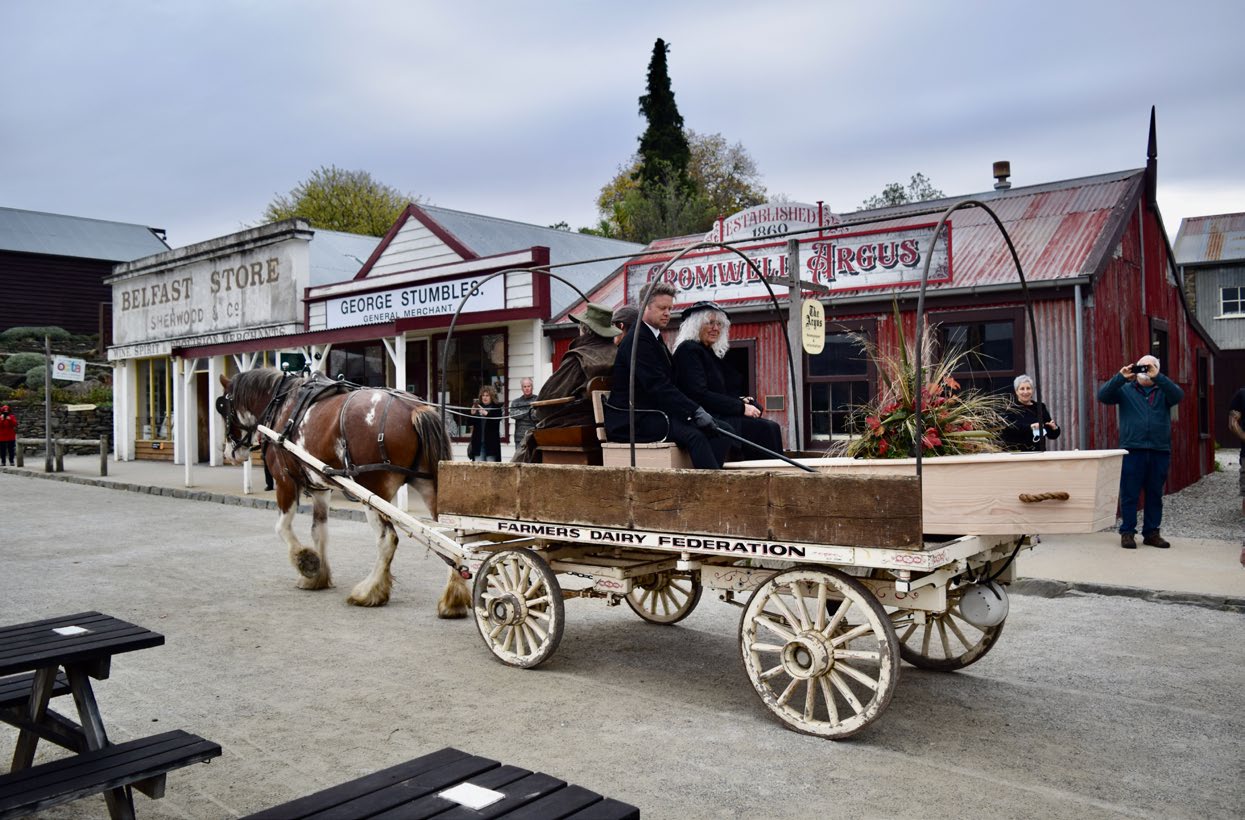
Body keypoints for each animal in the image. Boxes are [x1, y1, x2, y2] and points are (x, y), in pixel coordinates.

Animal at [214, 368, 470, 619]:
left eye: (222, 406)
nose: (230, 452)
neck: (281, 405)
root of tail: (413, 408)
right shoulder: (320, 489)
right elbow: (319, 531)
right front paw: (318, 577)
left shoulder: (284, 481)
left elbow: (282, 528)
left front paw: (306, 562)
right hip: (430, 484)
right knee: (453, 536)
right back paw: (453, 599)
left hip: (373, 492)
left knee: (388, 539)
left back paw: (369, 592)